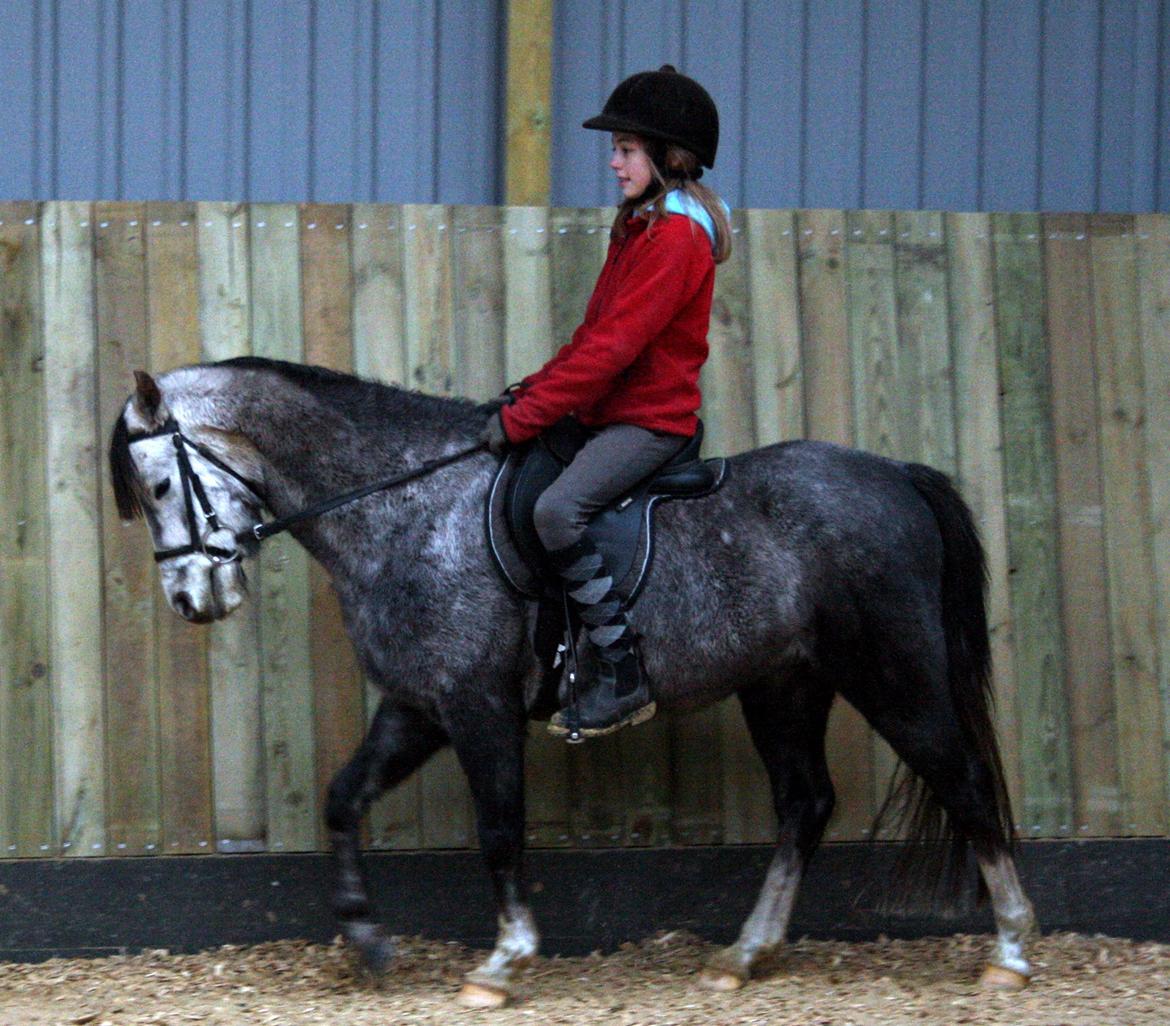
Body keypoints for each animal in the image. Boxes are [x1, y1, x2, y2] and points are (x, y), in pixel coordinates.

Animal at [108, 357, 1036, 1007]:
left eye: (159, 485)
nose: (192, 601)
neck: (409, 507)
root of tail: (896, 475)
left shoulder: (477, 707)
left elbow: (500, 830)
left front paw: (502, 962)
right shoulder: (420, 705)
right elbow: (344, 799)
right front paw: (368, 942)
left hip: (894, 675)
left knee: (964, 782)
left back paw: (1012, 953)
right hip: (784, 686)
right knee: (805, 804)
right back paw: (744, 955)